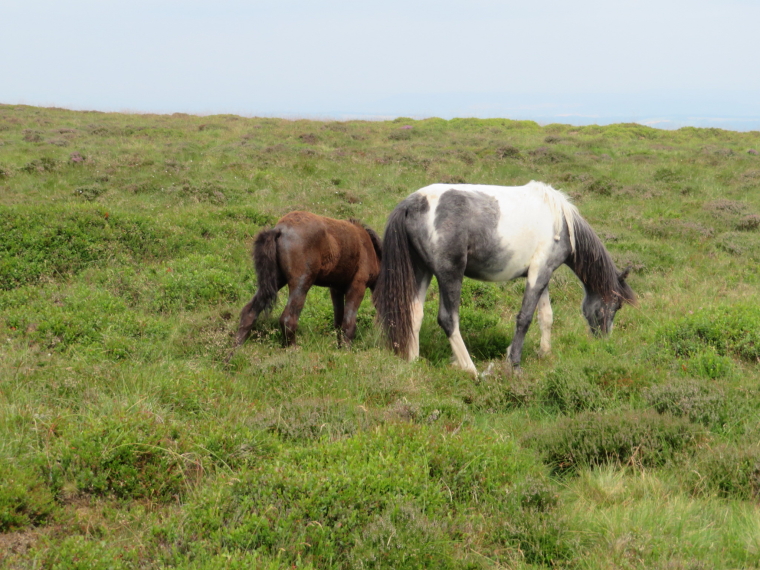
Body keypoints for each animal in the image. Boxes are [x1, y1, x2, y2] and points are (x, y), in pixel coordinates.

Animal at [226, 211, 380, 358]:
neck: (368, 247)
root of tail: (280, 229)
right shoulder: (357, 287)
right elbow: (349, 324)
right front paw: (346, 352)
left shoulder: (336, 289)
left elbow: (338, 322)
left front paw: (339, 348)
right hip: (301, 284)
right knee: (288, 319)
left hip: (275, 281)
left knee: (249, 313)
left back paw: (232, 354)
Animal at [374, 182, 636, 374]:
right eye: (615, 305)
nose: (604, 341)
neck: (561, 222)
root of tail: (411, 204)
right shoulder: (539, 273)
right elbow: (525, 319)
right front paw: (514, 363)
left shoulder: (543, 273)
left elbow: (546, 316)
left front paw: (544, 353)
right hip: (449, 274)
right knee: (448, 320)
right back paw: (470, 369)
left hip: (422, 271)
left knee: (413, 314)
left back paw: (413, 361)